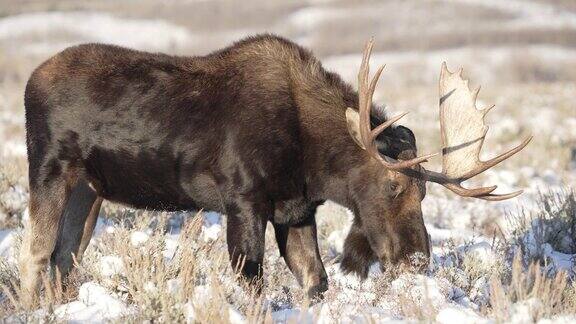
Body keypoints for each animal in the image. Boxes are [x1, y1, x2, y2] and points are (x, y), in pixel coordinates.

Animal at [19, 34, 532, 306]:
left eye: (424, 194)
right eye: (393, 183)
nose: (416, 261)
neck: (313, 160)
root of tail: (29, 82)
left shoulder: (296, 210)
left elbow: (315, 280)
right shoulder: (244, 202)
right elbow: (253, 281)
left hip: (90, 189)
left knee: (65, 257)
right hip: (49, 168)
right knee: (36, 253)